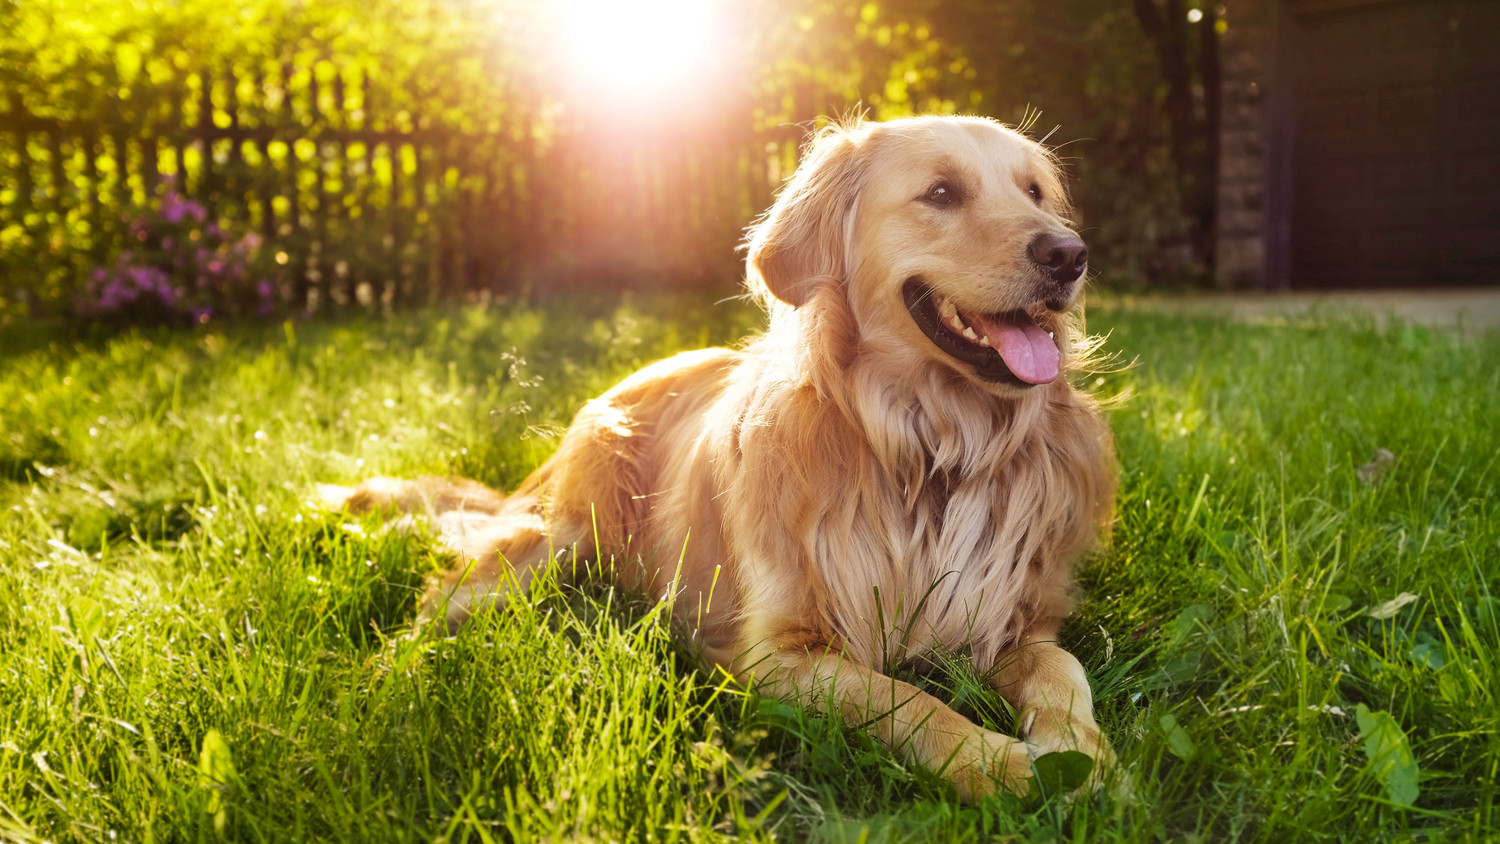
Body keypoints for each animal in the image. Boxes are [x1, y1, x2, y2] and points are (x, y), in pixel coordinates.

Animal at [325, 115, 1116, 803]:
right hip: (555, 540)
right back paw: (380, 689)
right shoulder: (779, 653)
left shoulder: (1014, 618)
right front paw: (1002, 766)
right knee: (434, 606)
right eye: (943, 193)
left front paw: (1084, 755)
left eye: (1035, 192)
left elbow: (1062, 669)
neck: (930, 450)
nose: (1069, 255)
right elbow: (906, 700)